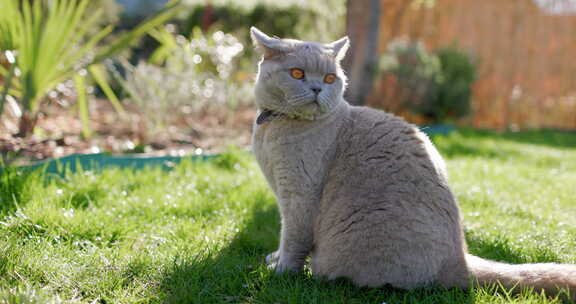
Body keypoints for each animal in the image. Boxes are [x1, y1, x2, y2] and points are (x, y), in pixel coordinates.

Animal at [250, 26, 576, 300]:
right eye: (297, 73)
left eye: (330, 79)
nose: (318, 89)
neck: (271, 130)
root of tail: (460, 259)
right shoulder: (282, 194)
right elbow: (284, 236)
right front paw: (274, 258)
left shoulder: (299, 195)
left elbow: (293, 237)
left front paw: (281, 272)